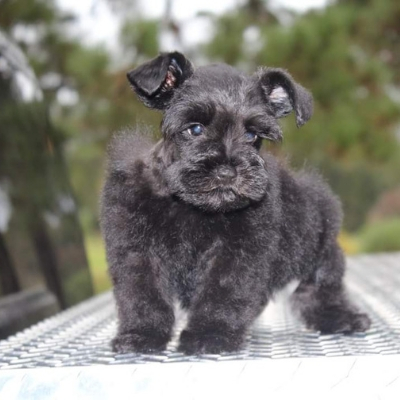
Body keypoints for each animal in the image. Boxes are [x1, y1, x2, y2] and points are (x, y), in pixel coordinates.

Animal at [101, 51, 370, 354]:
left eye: (252, 136)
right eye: (195, 129)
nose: (227, 172)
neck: (193, 206)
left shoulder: (237, 252)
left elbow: (223, 290)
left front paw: (210, 334)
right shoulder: (136, 249)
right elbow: (142, 293)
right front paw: (142, 334)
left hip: (321, 242)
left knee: (322, 287)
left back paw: (341, 317)